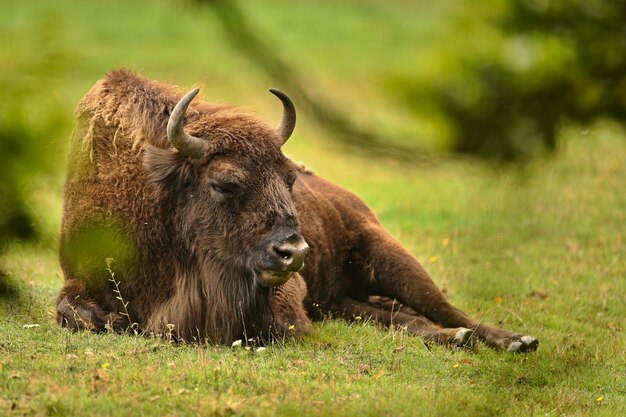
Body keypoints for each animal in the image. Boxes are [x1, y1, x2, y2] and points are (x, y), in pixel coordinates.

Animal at [56, 70, 536, 352]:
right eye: (224, 183)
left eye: (289, 178)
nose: (295, 253)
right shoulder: (78, 279)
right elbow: (76, 314)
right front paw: (113, 319)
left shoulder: (285, 300)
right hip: (342, 301)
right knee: (399, 317)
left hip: (390, 257)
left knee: (443, 308)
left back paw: (513, 340)